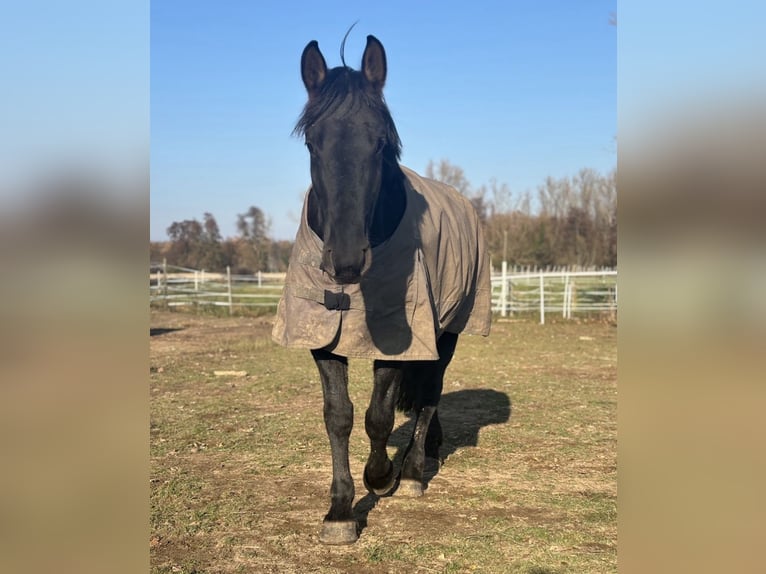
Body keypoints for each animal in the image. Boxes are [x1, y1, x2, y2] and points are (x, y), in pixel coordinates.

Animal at [272, 34, 492, 544]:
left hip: (449, 329)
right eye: (312, 143)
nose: (346, 261)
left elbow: (379, 415)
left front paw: (380, 476)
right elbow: (339, 416)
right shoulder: (322, 331)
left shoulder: (398, 334)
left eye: (379, 143)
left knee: (431, 391)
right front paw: (339, 511)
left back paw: (411, 472)